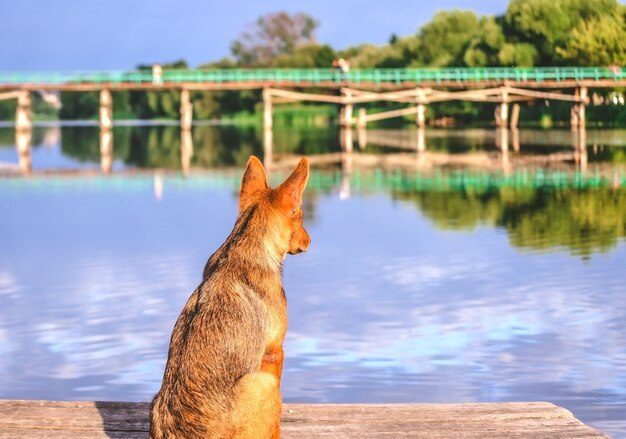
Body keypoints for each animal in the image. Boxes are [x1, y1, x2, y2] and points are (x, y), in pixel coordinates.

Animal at [149, 156, 310, 438]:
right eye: (299, 214)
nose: (310, 241)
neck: (241, 243)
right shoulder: (274, 352)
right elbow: (278, 419)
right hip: (263, 382)